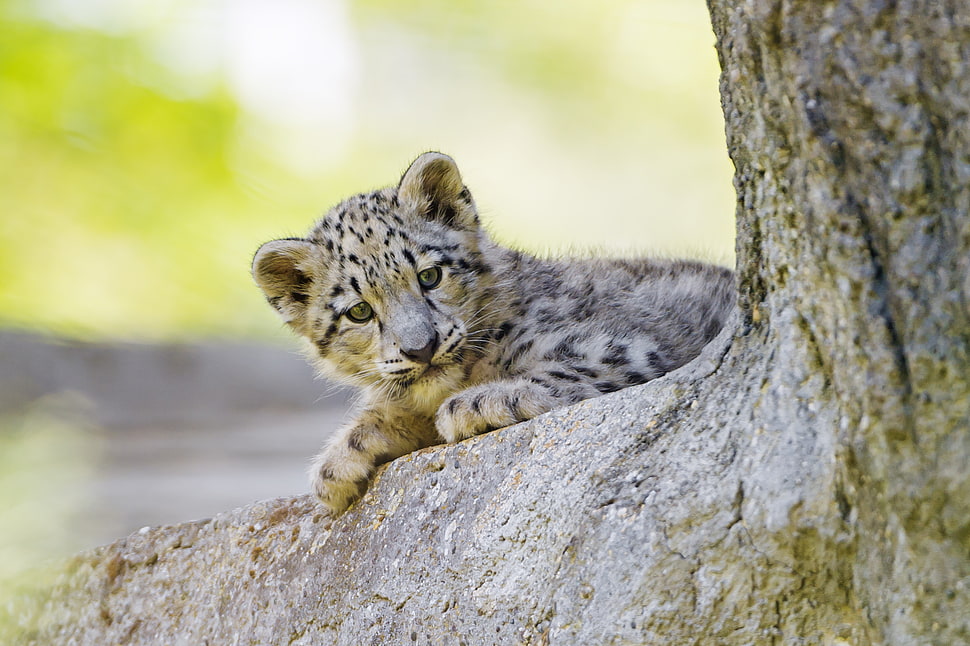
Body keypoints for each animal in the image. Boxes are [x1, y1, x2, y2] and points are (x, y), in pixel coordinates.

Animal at [252, 152, 735, 517]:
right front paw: (337, 466)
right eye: (359, 311)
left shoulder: (620, 349)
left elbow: (560, 372)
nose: (421, 347)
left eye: (429, 276)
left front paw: (475, 403)